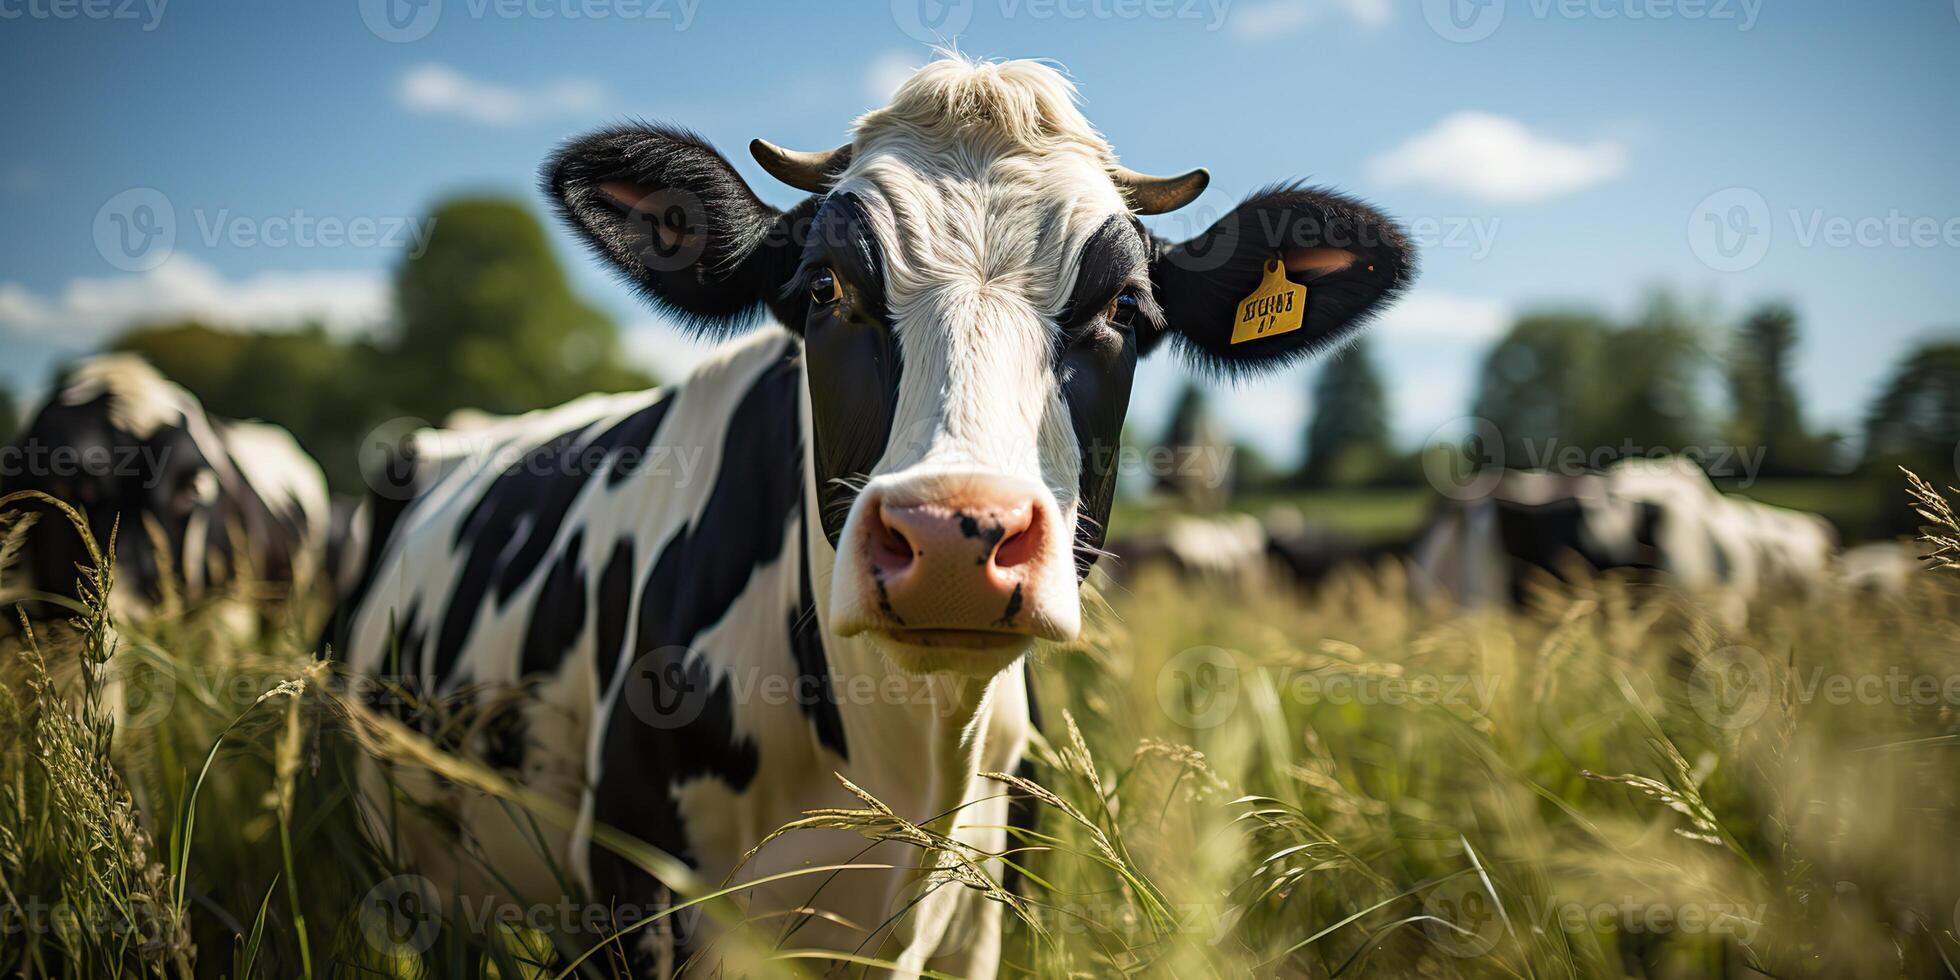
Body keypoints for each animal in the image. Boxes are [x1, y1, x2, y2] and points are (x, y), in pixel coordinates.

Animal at [337, 57, 1411, 976]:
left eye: (1125, 310)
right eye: (826, 288)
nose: (954, 535)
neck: (909, 756)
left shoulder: (989, 915)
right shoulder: (639, 897)